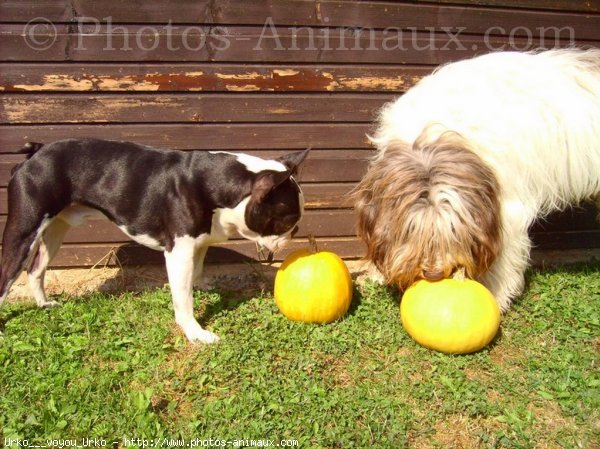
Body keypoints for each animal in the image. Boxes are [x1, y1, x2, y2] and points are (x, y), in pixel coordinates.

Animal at [0, 140, 310, 344]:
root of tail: (36, 151)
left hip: (55, 229)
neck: (219, 183)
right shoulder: (179, 253)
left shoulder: (198, 243)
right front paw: (195, 332)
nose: (296, 231)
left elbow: (197, 271)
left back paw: (44, 304)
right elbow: (183, 298)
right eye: (289, 219)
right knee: (7, 276)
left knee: (36, 269)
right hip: (24, 229)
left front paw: (203, 287)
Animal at [354, 48, 600, 308]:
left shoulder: (507, 206)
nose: (433, 273)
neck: (435, 135)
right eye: (410, 230)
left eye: (453, 230)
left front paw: (496, 294)